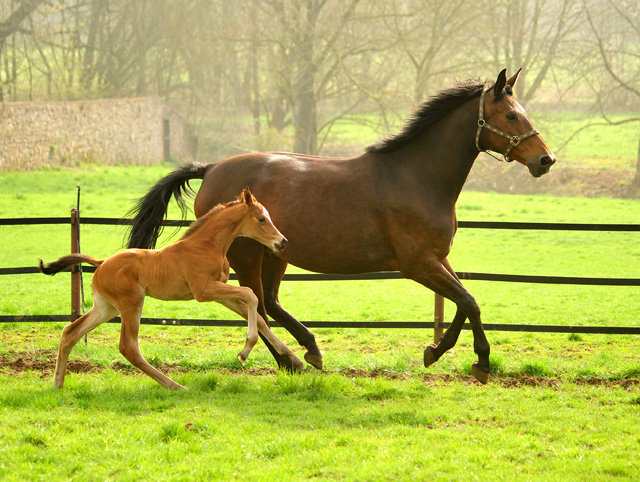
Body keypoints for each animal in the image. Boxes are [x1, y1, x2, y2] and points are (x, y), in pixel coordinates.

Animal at [40, 186, 304, 390]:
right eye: (261, 219)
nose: (282, 242)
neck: (206, 245)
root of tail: (102, 263)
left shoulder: (218, 291)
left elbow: (256, 314)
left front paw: (295, 359)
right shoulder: (203, 291)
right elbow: (251, 296)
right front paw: (245, 351)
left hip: (106, 308)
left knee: (71, 332)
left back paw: (57, 383)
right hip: (131, 303)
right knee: (128, 347)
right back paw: (175, 385)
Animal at [126, 68, 556, 384]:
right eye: (511, 115)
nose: (546, 160)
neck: (415, 177)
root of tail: (212, 167)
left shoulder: (437, 259)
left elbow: (465, 301)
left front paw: (436, 351)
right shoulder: (417, 264)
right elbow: (468, 301)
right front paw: (480, 362)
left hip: (276, 252)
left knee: (269, 301)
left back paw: (309, 350)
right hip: (247, 254)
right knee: (257, 305)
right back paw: (292, 359)